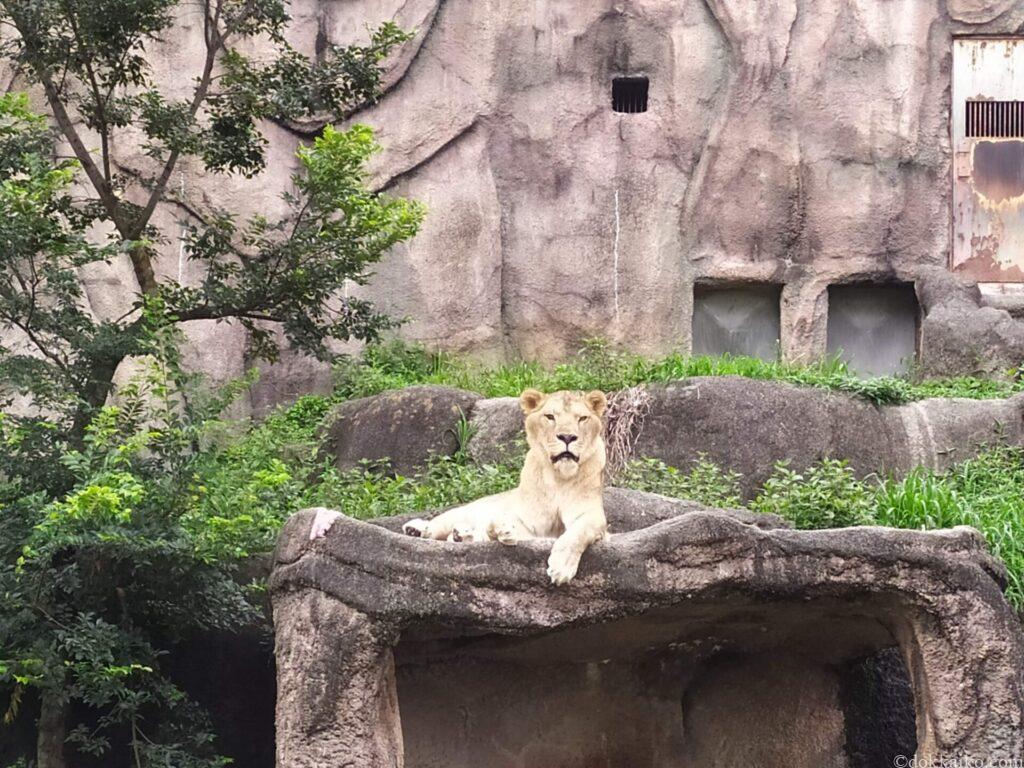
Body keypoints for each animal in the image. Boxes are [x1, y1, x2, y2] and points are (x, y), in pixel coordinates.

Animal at [399, 387, 606, 585]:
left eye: (582, 418)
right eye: (550, 417)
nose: (567, 437)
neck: (559, 478)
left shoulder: (595, 518)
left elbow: (577, 532)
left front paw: (561, 567)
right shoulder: (525, 519)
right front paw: (501, 530)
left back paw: (460, 534)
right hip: (464, 511)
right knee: (440, 524)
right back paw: (418, 529)